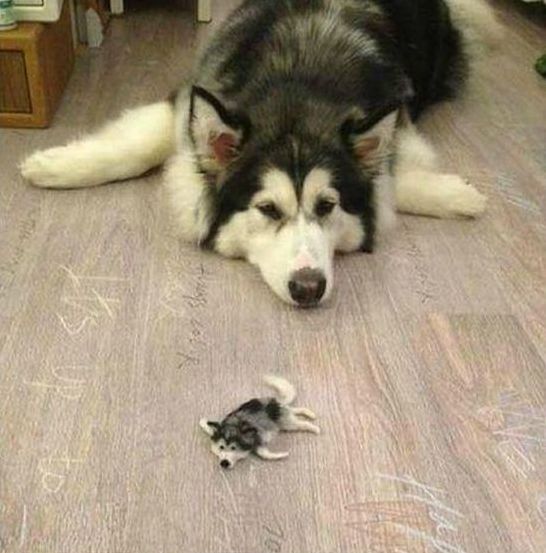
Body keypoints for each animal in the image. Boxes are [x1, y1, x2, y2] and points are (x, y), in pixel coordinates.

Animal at [21, 0, 500, 306]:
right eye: (267, 209)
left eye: (327, 206)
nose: (308, 288)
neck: (297, 87)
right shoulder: (189, 96)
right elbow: (137, 146)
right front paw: (54, 166)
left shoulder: (396, 118)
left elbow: (392, 177)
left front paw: (458, 195)